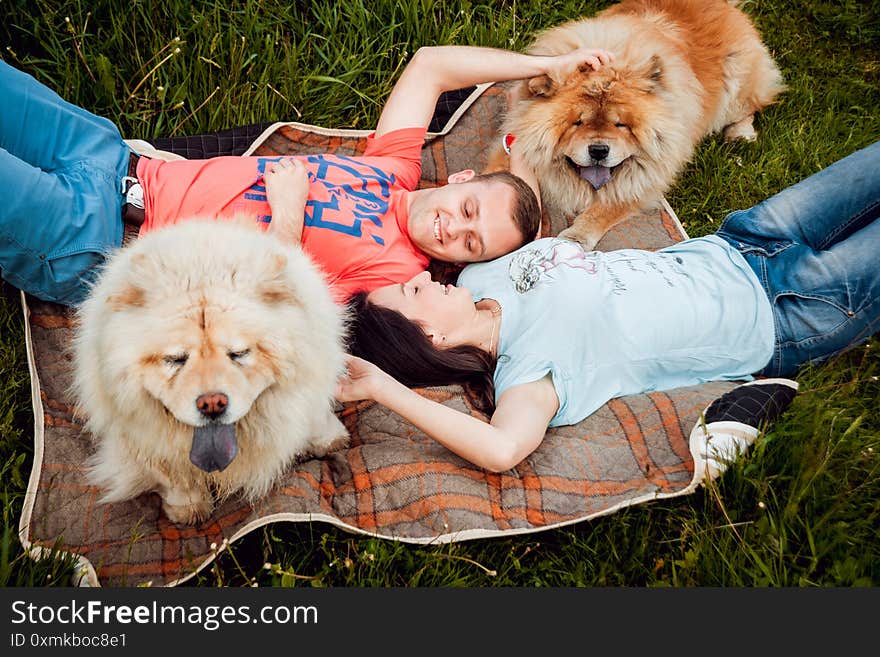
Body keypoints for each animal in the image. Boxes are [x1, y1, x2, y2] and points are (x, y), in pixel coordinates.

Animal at [488, 0, 784, 246]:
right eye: (577, 123)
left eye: (621, 125)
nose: (599, 150)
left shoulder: (650, 173)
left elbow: (607, 206)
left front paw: (576, 236)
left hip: (737, 83)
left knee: (749, 106)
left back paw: (740, 134)